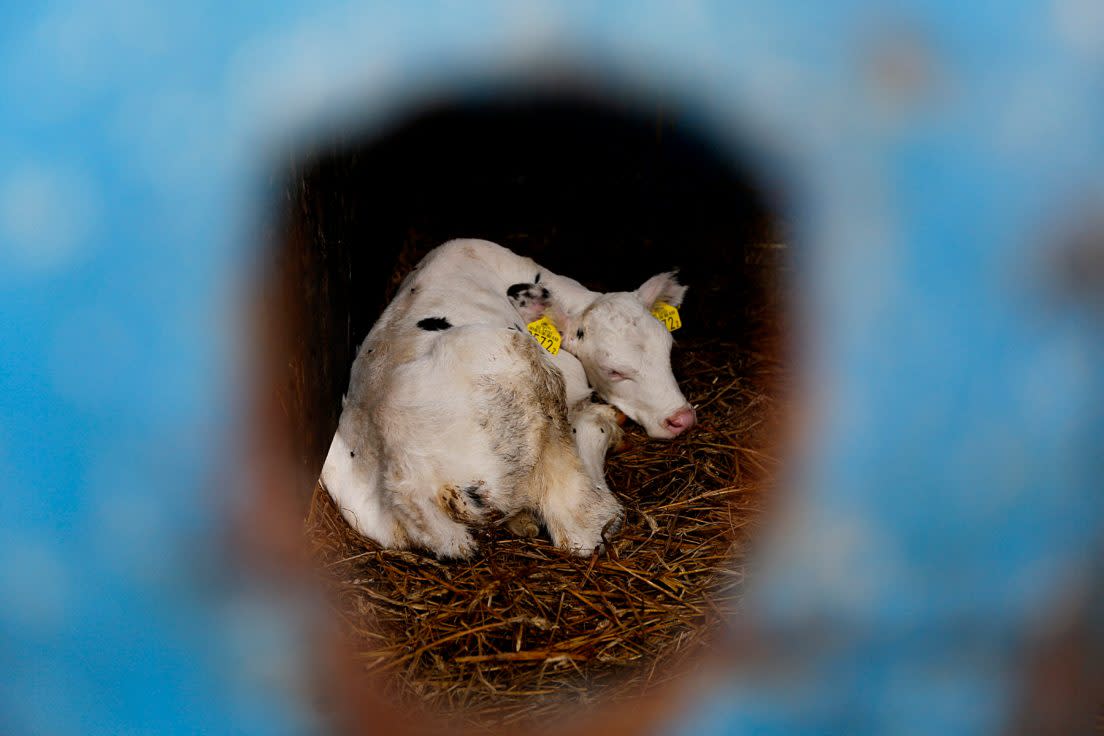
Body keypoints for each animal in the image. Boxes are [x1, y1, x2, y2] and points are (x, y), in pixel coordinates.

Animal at [320, 240, 693, 558]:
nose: (682, 418)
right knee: (581, 525)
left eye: (668, 349)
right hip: (519, 361)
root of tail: (403, 477)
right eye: (613, 370)